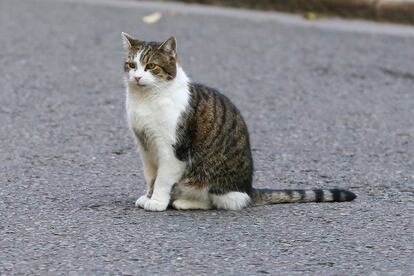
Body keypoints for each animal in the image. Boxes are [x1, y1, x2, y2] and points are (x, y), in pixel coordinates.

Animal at [121, 33, 358, 212]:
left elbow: (162, 179)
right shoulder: (145, 147)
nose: (137, 77)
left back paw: (183, 202)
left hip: (210, 178)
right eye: (131, 65)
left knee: (220, 201)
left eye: (151, 66)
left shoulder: (172, 150)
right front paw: (148, 196)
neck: (145, 100)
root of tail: (249, 189)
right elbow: (151, 176)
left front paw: (157, 202)